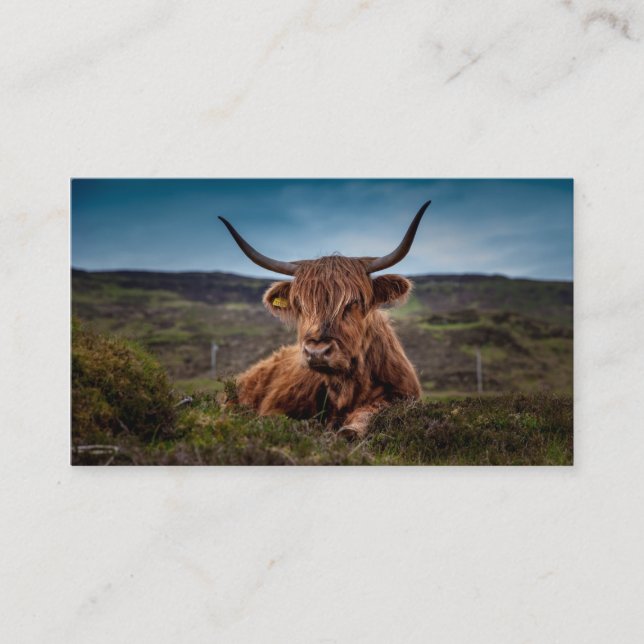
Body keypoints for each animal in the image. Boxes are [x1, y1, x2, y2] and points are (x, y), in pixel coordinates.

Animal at [218, 201, 430, 439]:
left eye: (353, 302)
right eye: (300, 304)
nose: (317, 351)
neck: (346, 387)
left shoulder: (402, 396)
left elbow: (370, 413)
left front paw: (350, 429)